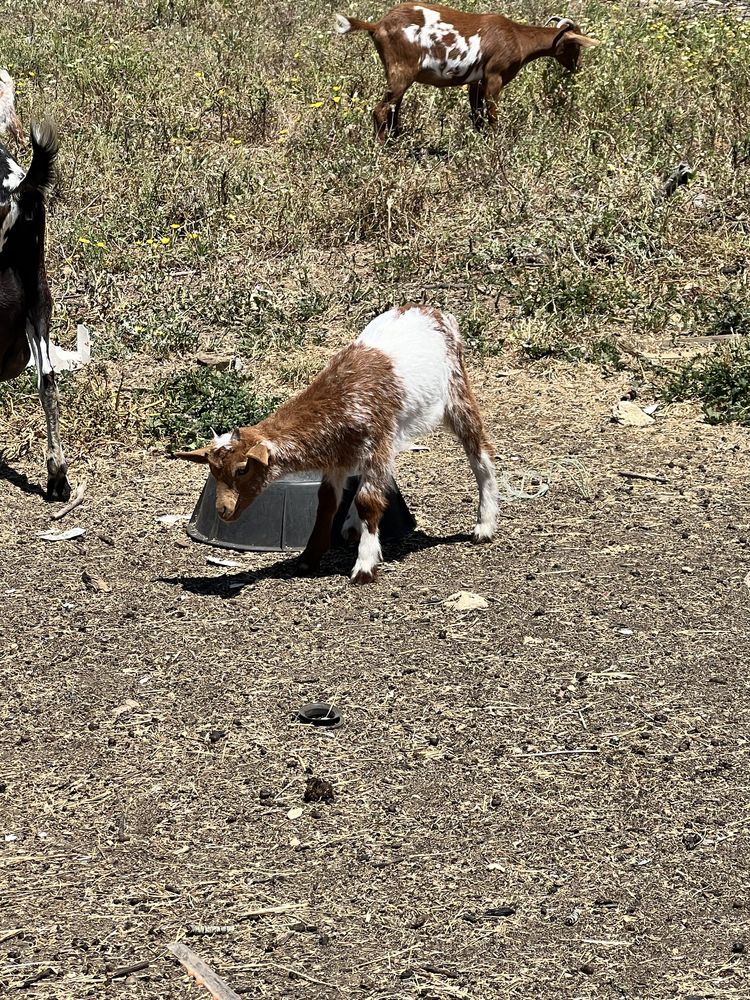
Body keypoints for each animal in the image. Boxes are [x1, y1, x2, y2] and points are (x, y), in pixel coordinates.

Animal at [338, 4, 604, 141]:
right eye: (575, 46)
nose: (577, 67)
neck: (517, 38)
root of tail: (377, 25)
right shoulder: (495, 77)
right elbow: (492, 115)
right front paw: (496, 145)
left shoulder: (476, 81)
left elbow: (477, 116)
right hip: (401, 70)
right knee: (380, 110)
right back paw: (382, 147)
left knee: (393, 110)